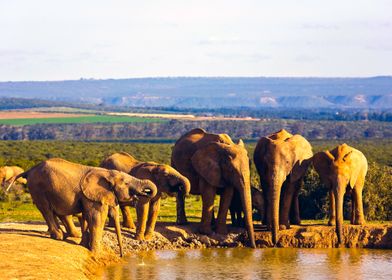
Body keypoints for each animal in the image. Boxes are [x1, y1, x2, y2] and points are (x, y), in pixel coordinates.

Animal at [8, 158, 157, 256]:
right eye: (126, 183)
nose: (121, 256)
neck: (107, 173)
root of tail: (30, 170)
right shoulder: (92, 195)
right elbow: (96, 217)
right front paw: (96, 253)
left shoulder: (87, 196)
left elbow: (86, 215)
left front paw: (84, 245)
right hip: (38, 188)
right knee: (47, 209)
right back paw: (58, 236)